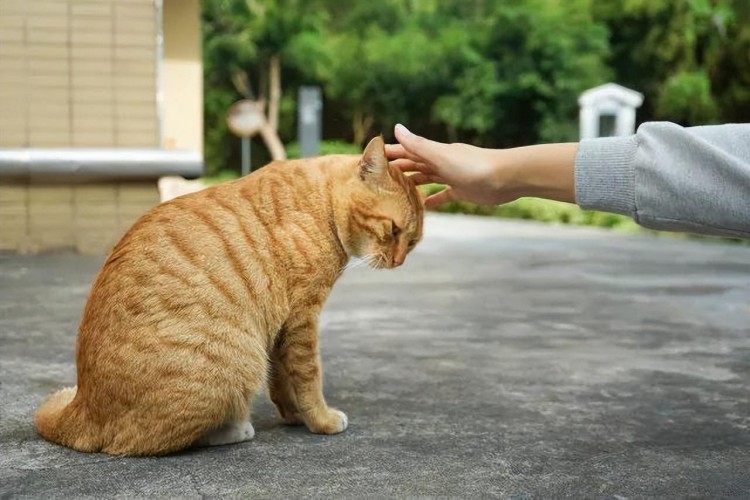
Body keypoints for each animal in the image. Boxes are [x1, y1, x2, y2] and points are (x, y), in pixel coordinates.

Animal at [35, 137, 426, 458]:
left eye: (412, 242)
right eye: (393, 230)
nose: (397, 262)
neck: (322, 204)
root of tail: (83, 406)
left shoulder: (280, 327)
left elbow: (282, 380)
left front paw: (294, 416)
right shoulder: (302, 317)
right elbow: (308, 377)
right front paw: (322, 421)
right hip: (238, 358)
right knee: (150, 442)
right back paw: (235, 429)